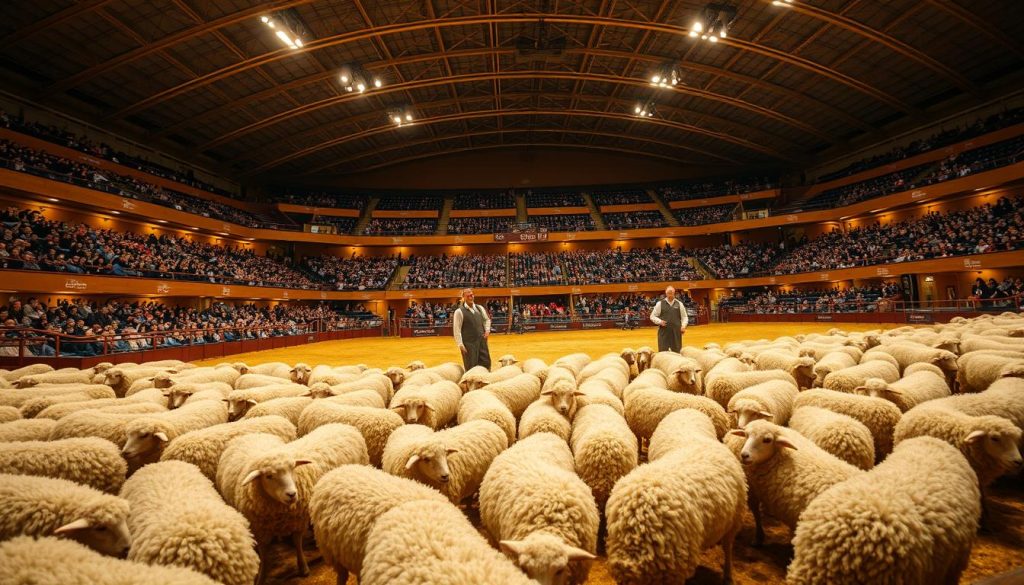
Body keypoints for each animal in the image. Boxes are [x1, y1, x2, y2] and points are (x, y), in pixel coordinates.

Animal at [216, 424, 369, 585]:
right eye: (269, 476)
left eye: (292, 468)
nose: (292, 494)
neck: (279, 511)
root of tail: (341, 425)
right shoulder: (260, 529)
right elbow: (264, 555)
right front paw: (261, 576)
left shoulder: (298, 520)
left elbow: (297, 543)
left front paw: (303, 568)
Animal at [726, 420, 862, 546]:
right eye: (746, 435)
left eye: (767, 440)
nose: (744, 455)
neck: (778, 456)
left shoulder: (753, 490)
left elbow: (756, 513)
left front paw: (758, 538)